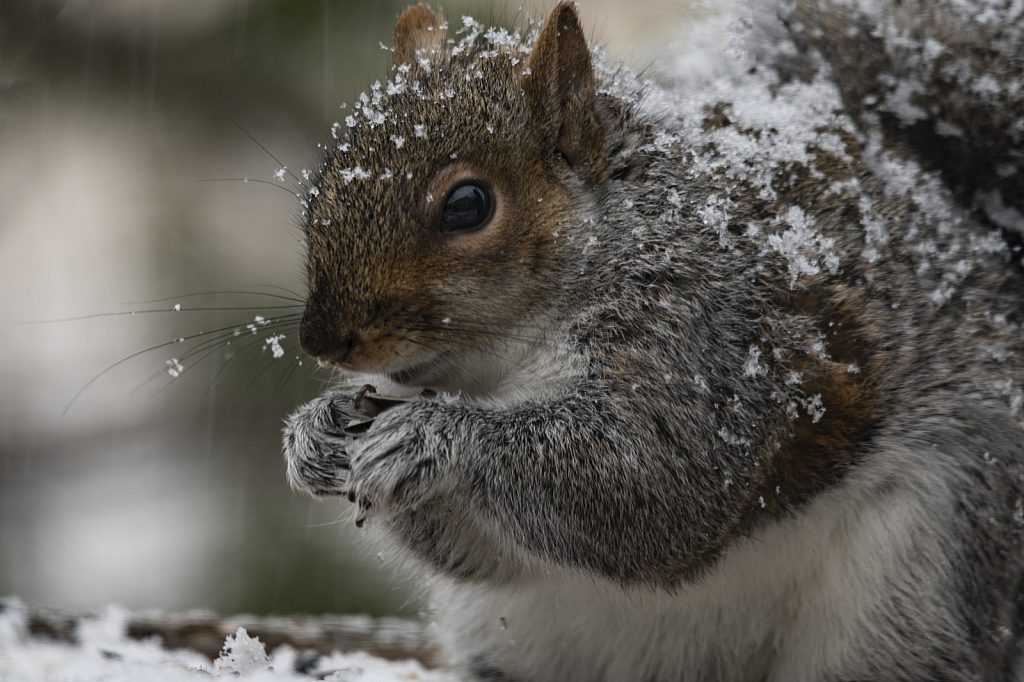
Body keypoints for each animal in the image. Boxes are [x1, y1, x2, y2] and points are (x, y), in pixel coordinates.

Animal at [284, 2, 1024, 675]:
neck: (505, 363)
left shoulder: (709, 339)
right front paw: (314, 431)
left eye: (468, 205)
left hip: (919, 578)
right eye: (323, 187)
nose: (323, 342)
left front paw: (431, 436)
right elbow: (483, 555)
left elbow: (657, 479)